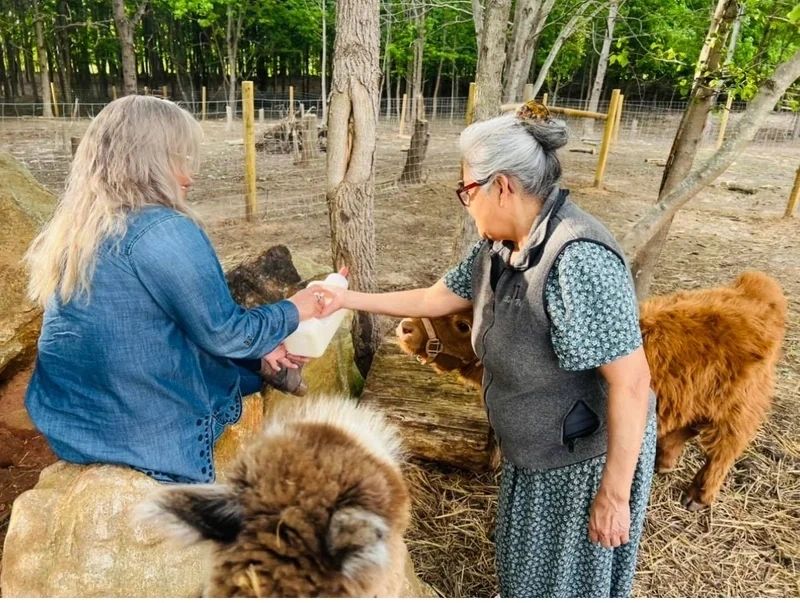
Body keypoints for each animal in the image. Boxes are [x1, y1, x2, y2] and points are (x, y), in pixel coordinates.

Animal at [396, 272, 784, 512]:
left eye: (463, 324)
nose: (405, 326)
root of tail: (754, 290)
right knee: (685, 430)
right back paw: (663, 462)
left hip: (738, 409)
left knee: (724, 450)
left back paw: (699, 496)